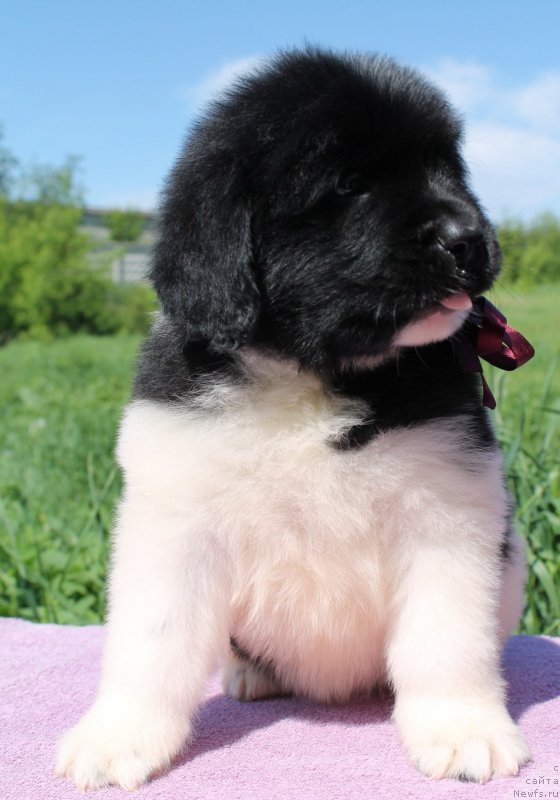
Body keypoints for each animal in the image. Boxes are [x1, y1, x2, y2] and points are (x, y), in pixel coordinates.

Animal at [58, 48, 532, 788]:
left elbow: (447, 640)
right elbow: (151, 641)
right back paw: (253, 673)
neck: (309, 374)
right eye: (349, 184)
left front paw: (464, 731)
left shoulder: (447, 513)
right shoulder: (173, 521)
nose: (470, 237)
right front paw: (116, 737)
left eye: (450, 170)